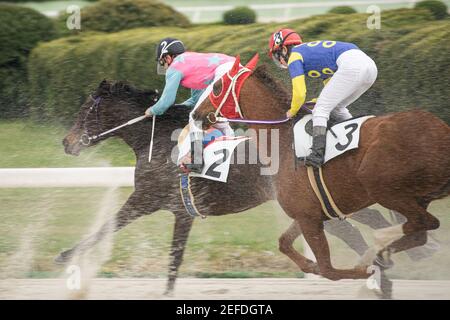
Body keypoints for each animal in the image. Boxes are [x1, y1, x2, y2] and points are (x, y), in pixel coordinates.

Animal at [58, 79, 406, 296]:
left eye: (86, 109)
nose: (66, 143)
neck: (157, 143)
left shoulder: (146, 199)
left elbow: (109, 229)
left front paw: (65, 256)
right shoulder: (180, 211)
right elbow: (174, 259)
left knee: (357, 232)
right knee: (368, 224)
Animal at [192, 61, 450, 292]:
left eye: (217, 86)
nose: (196, 114)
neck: (284, 140)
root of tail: (440, 131)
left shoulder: (309, 219)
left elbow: (329, 270)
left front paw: (372, 270)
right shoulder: (307, 214)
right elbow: (284, 243)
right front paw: (310, 265)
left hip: (385, 189)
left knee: (423, 223)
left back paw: (381, 246)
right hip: (418, 196)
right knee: (420, 231)